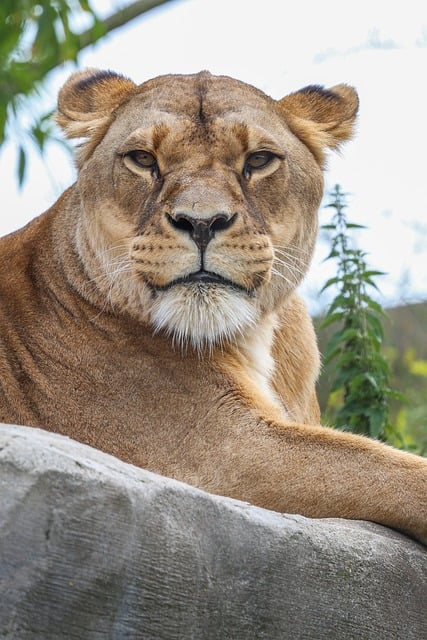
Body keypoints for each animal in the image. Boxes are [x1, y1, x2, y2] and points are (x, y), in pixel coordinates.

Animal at [0, 69, 426, 544]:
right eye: (142, 159)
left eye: (258, 160)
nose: (201, 222)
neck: (257, 336)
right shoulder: (217, 455)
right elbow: (390, 472)